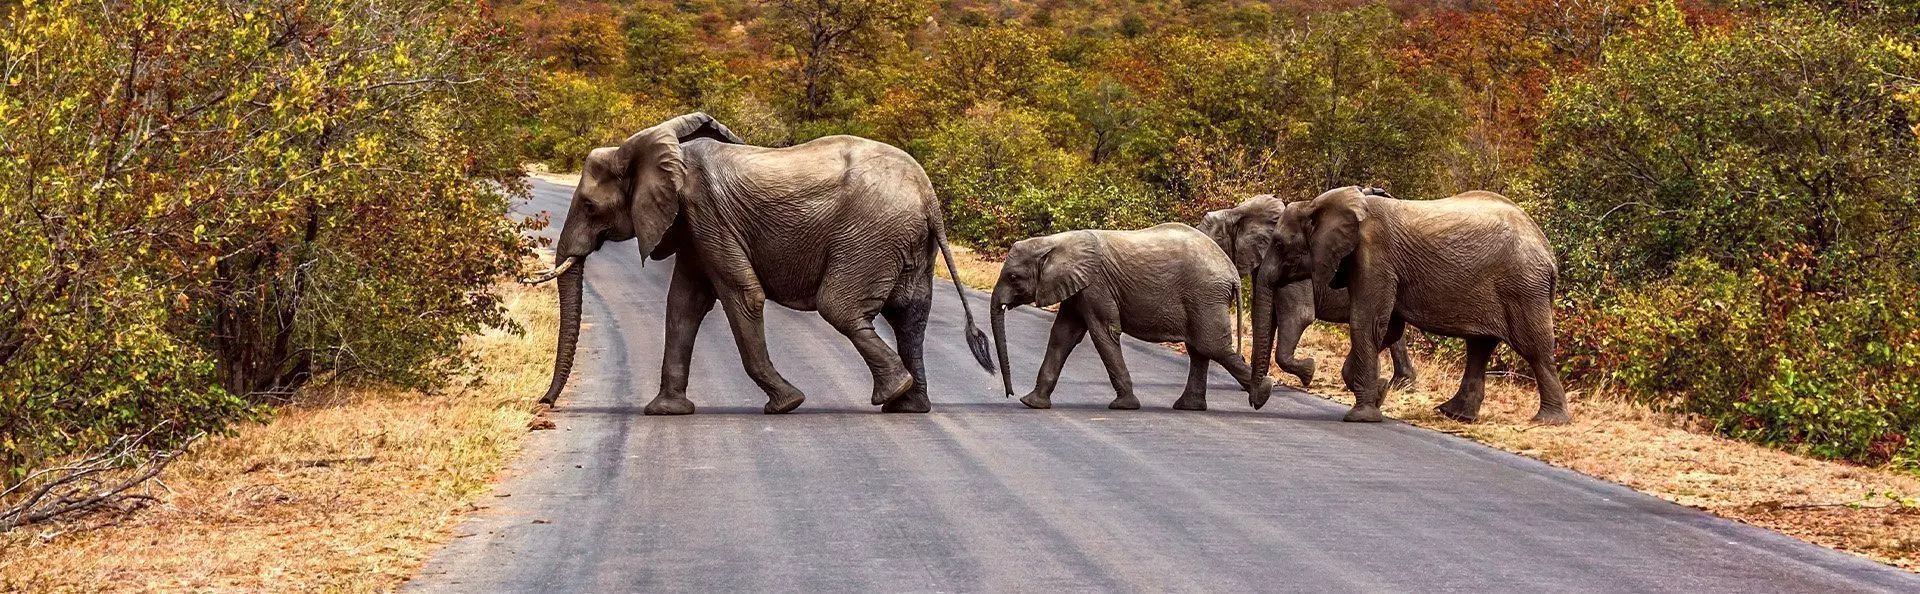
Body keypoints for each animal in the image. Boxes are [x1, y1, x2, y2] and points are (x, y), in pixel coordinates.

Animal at [522, 112, 993, 415]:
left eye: (589, 206)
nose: (544, 404)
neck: (650, 147)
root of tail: (928, 194)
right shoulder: (695, 226)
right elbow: (684, 304)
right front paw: (666, 412)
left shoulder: (706, 213)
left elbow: (741, 295)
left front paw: (787, 404)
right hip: (907, 241)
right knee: (909, 315)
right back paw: (908, 405)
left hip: (871, 233)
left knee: (840, 307)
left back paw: (891, 394)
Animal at [988, 224, 1272, 411]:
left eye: (1013, 277)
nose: (1009, 394)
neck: (1055, 242)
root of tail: (1232, 273)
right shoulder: (1078, 286)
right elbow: (1063, 335)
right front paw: (1031, 403)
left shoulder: (1096, 285)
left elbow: (1103, 333)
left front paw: (1124, 406)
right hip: (1203, 299)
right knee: (1200, 350)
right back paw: (1188, 406)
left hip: (1205, 295)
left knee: (1211, 346)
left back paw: (1262, 394)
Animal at [1199, 195, 1418, 392]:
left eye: (1216, 241)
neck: (1238, 212)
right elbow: (1267, 317)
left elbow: (1298, 315)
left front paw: (1309, 372)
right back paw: (1399, 384)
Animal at [1272, 186, 1569, 425]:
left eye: (1279, 244)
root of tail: (1548, 251)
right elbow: (1386, 327)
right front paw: (1378, 390)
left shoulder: (1374, 255)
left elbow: (1368, 322)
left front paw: (1363, 413)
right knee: (1479, 347)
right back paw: (1454, 413)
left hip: (1523, 288)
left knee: (1534, 349)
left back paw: (1549, 421)